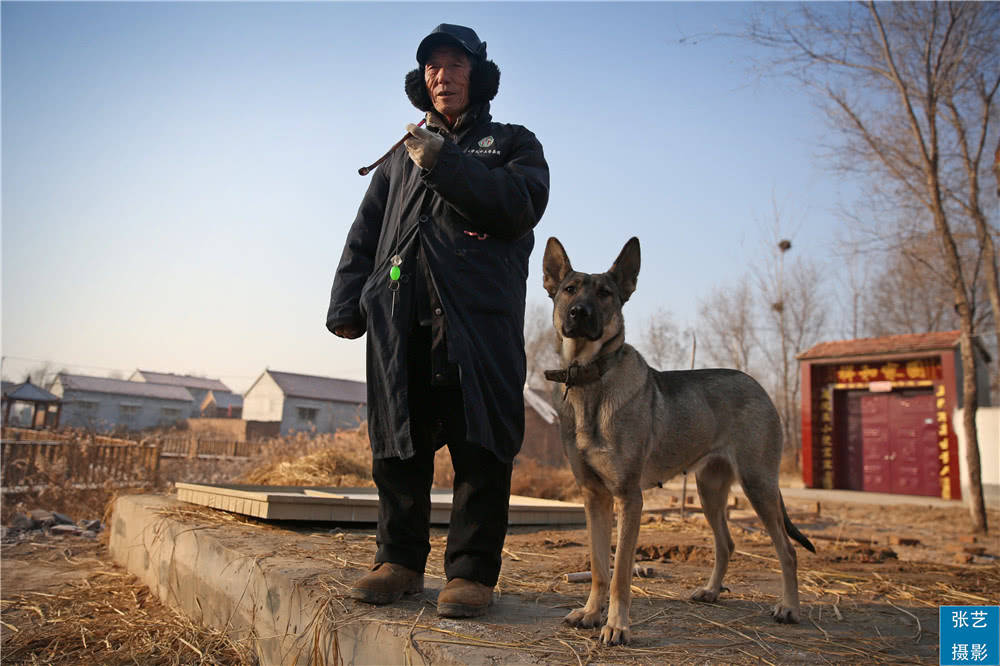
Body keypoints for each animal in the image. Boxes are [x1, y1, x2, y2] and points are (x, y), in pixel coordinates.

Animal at [544, 235, 816, 644]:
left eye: (606, 293)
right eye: (569, 289)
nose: (578, 313)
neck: (592, 379)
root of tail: (760, 388)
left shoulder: (629, 498)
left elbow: (620, 574)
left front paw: (616, 626)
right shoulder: (594, 497)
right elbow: (599, 567)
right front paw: (591, 614)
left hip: (758, 485)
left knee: (787, 550)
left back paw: (790, 608)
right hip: (710, 491)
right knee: (726, 543)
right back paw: (712, 591)